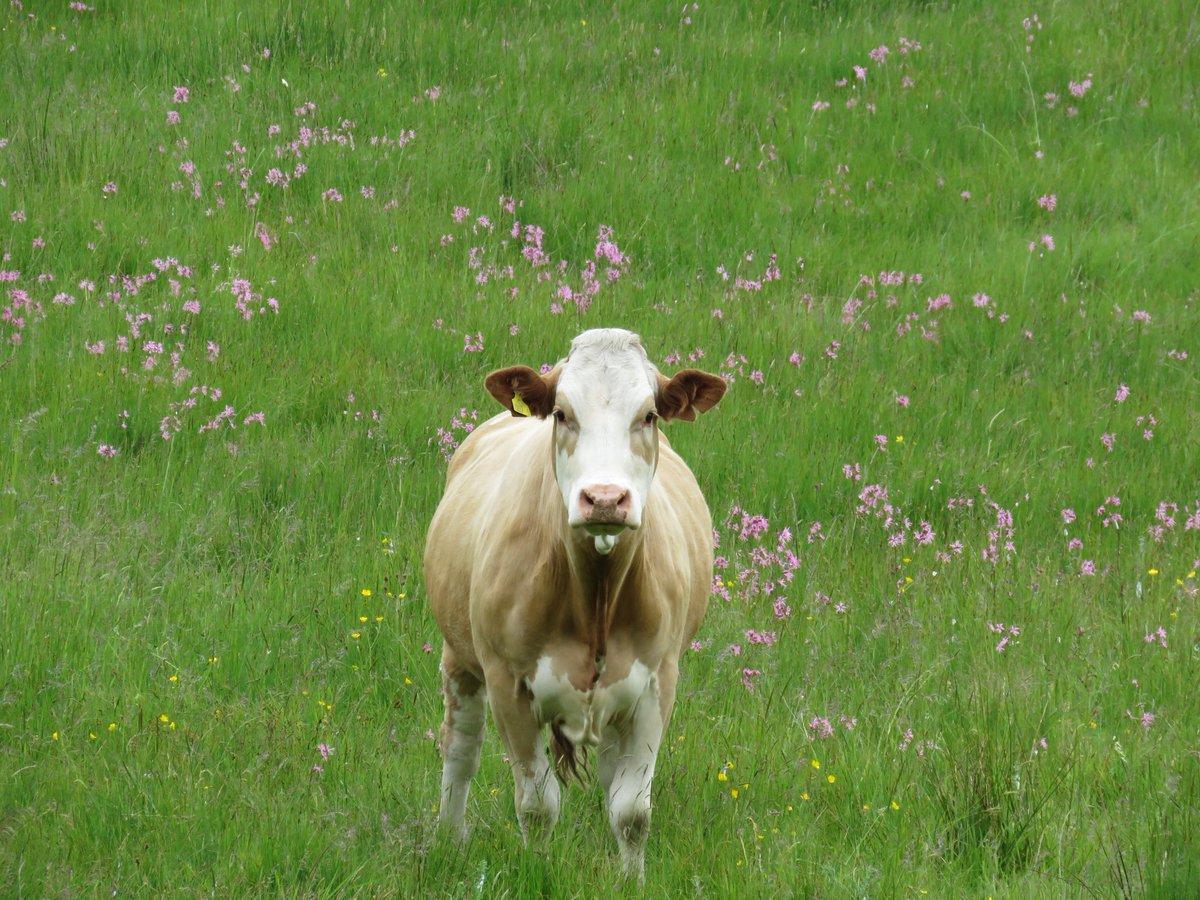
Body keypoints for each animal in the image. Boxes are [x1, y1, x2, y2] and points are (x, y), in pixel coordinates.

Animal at [424, 327, 726, 878]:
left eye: (649, 415)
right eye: (563, 413)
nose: (604, 498)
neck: (595, 595)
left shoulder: (656, 683)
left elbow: (631, 809)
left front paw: (631, 880)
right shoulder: (507, 681)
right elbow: (536, 803)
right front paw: (537, 869)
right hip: (459, 657)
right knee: (460, 749)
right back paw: (451, 839)